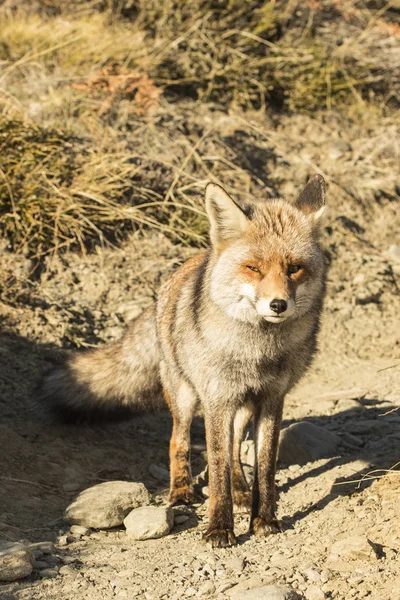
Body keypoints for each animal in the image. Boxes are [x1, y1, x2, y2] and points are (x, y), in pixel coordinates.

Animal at [39, 175, 328, 548]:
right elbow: (216, 468)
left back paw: (241, 492)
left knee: (235, 449)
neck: (259, 353)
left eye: (294, 268)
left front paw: (264, 520)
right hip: (186, 396)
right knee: (179, 441)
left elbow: (264, 467)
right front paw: (219, 528)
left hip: (240, 406)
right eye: (253, 268)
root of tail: (186, 267)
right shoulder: (217, 399)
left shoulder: (271, 398)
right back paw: (180, 492)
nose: (278, 305)